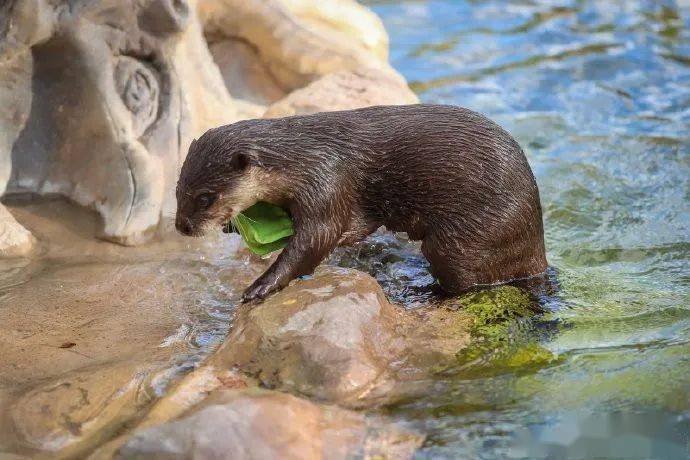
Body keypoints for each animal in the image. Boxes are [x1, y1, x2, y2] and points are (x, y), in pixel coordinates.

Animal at [175, 106, 544, 304]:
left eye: (205, 198)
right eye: (177, 191)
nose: (182, 226)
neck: (300, 160)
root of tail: (536, 246)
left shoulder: (325, 184)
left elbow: (314, 241)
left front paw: (260, 285)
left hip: (468, 238)